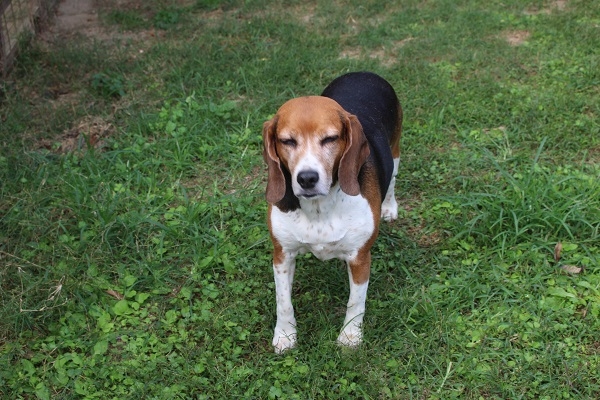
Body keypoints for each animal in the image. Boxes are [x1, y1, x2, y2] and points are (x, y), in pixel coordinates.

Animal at [262, 71, 402, 353]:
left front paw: (349, 337)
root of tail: (364, 73)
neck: (319, 208)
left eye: (330, 139)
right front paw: (285, 335)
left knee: (393, 177)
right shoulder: (282, 254)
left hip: (395, 151)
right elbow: (283, 301)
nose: (307, 178)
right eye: (287, 141)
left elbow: (356, 303)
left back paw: (389, 207)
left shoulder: (360, 258)